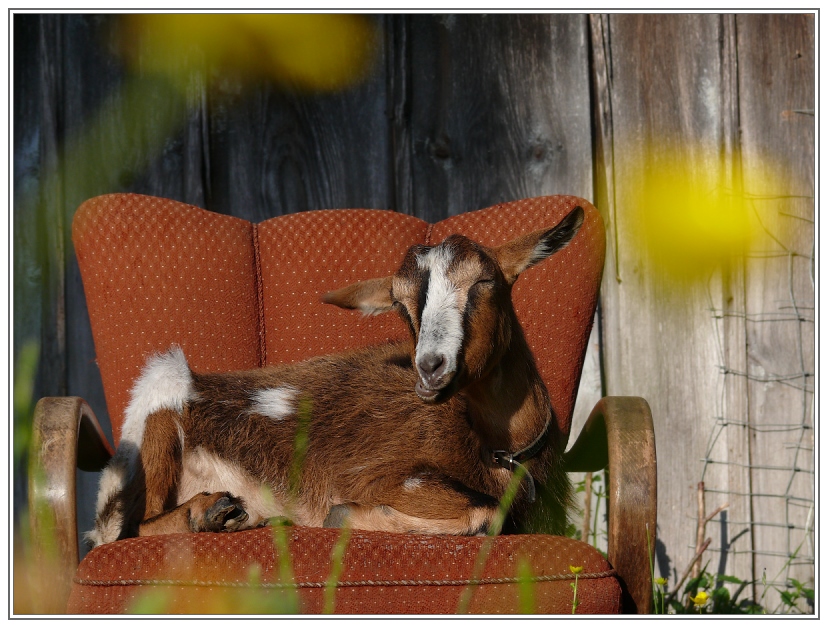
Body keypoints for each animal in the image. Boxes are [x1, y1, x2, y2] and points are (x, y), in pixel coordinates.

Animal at [87, 205, 584, 544]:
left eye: (484, 281)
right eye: (401, 304)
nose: (430, 367)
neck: (501, 451)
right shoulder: (388, 477)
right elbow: (486, 514)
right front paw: (348, 517)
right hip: (160, 399)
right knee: (129, 531)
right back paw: (207, 513)